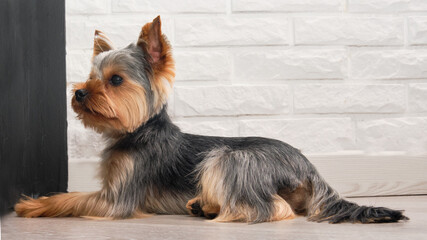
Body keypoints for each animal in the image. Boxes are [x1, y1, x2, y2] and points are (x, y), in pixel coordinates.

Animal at [14, 16, 408, 223]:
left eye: (115, 81)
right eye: (90, 76)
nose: (79, 92)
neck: (138, 132)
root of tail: (309, 166)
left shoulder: (117, 198)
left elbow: (70, 198)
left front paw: (32, 204)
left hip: (230, 158)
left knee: (274, 208)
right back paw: (201, 205)